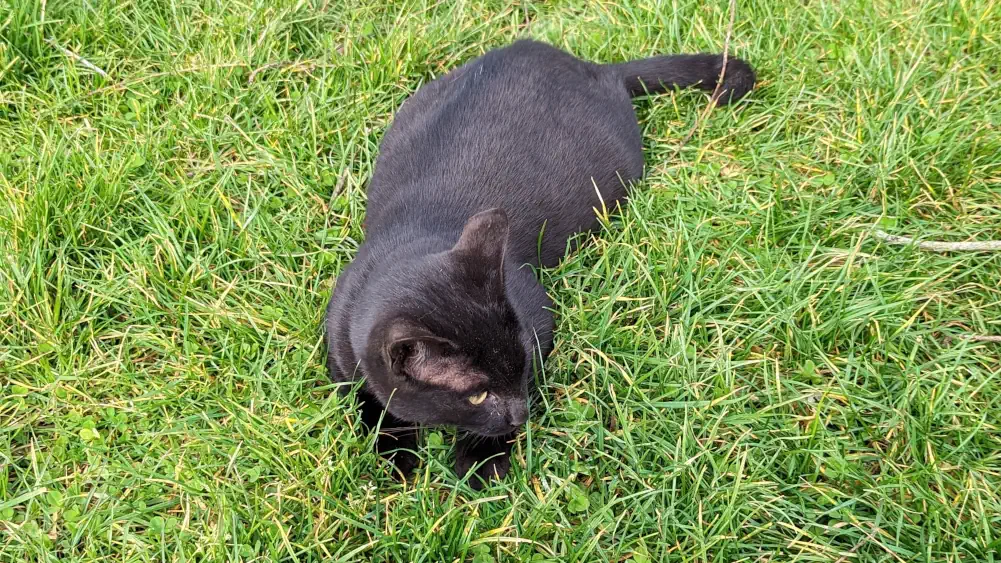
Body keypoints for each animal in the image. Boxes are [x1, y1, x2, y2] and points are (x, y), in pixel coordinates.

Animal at [324, 40, 752, 486]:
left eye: (523, 365)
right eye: (478, 395)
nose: (520, 415)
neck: (412, 241)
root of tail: (592, 67)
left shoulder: (536, 312)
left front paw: (481, 459)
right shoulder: (339, 349)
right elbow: (372, 401)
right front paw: (396, 455)